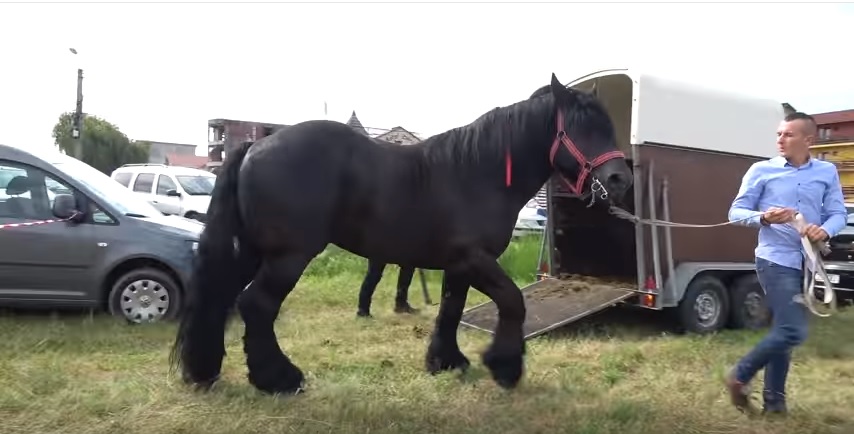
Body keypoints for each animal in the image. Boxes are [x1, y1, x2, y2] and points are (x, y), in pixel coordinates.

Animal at [170, 72, 633, 395]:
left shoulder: (459, 265)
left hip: (250, 250)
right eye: (581, 128)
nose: (620, 179)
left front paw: (446, 361)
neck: (477, 173)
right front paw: (505, 366)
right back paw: (279, 379)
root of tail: (255, 146)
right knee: (257, 305)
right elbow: (512, 302)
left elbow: (450, 309)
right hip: (289, 255)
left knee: (222, 300)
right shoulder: (477, 259)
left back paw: (205, 371)